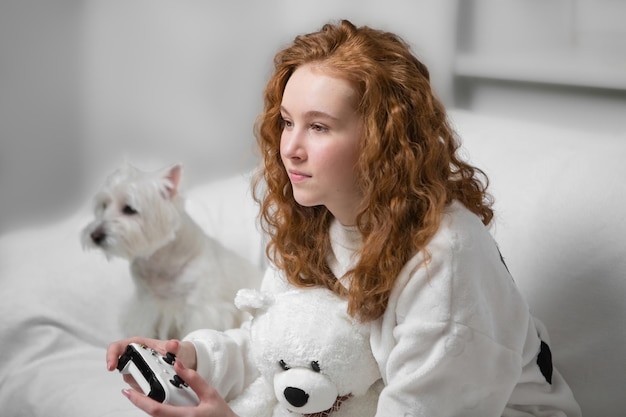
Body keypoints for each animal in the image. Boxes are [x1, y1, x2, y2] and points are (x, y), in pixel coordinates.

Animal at [80, 161, 260, 340]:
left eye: (129, 209)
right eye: (104, 205)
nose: (95, 236)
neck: (161, 261)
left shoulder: (201, 307)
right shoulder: (146, 304)